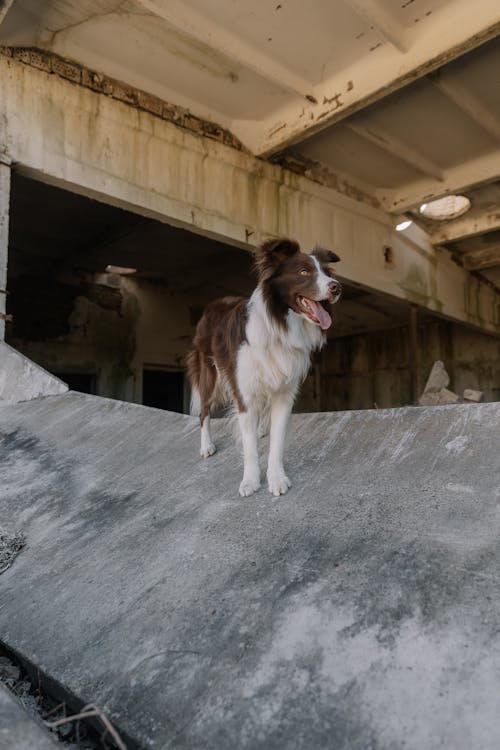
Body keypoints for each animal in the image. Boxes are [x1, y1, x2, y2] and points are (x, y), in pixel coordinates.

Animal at [187, 241, 340, 500]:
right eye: (304, 272)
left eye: (327, 273)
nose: (337, 287)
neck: (281, 324)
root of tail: (212, 305)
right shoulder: (244, 392)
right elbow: (249, 447)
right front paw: (250, 480)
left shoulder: (284, 394)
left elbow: (277, 442)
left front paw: (276, 478)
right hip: (209, 374)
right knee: (204, 411)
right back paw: (206, 446)